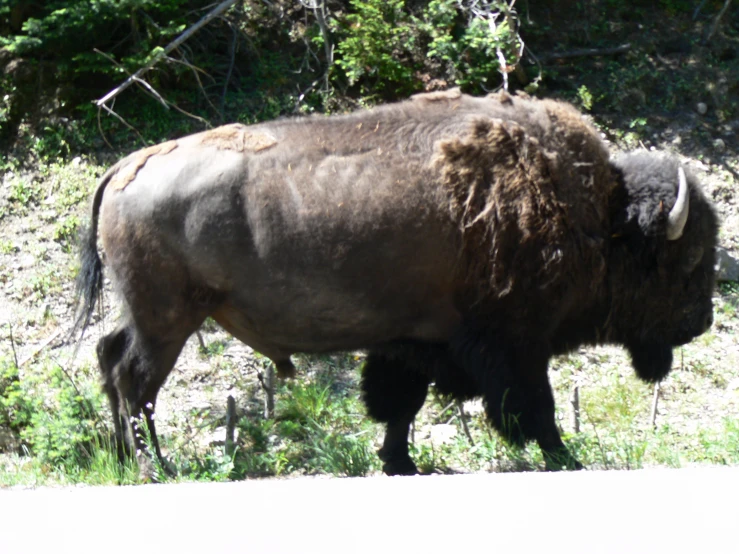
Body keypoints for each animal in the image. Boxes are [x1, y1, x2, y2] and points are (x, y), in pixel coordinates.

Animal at [73, 88, 716, 472]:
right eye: (686, 261)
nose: (701, 322)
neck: (599, 219)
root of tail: (126, 167)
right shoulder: (515, 343)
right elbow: (537, 408)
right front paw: (566, 460)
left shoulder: (414, 342)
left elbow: (399, 406)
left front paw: (399, 463)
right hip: (168, 319)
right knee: (134, 380)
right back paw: (155, 467)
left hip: (149, 315)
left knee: (111, 360)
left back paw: (126, 460)